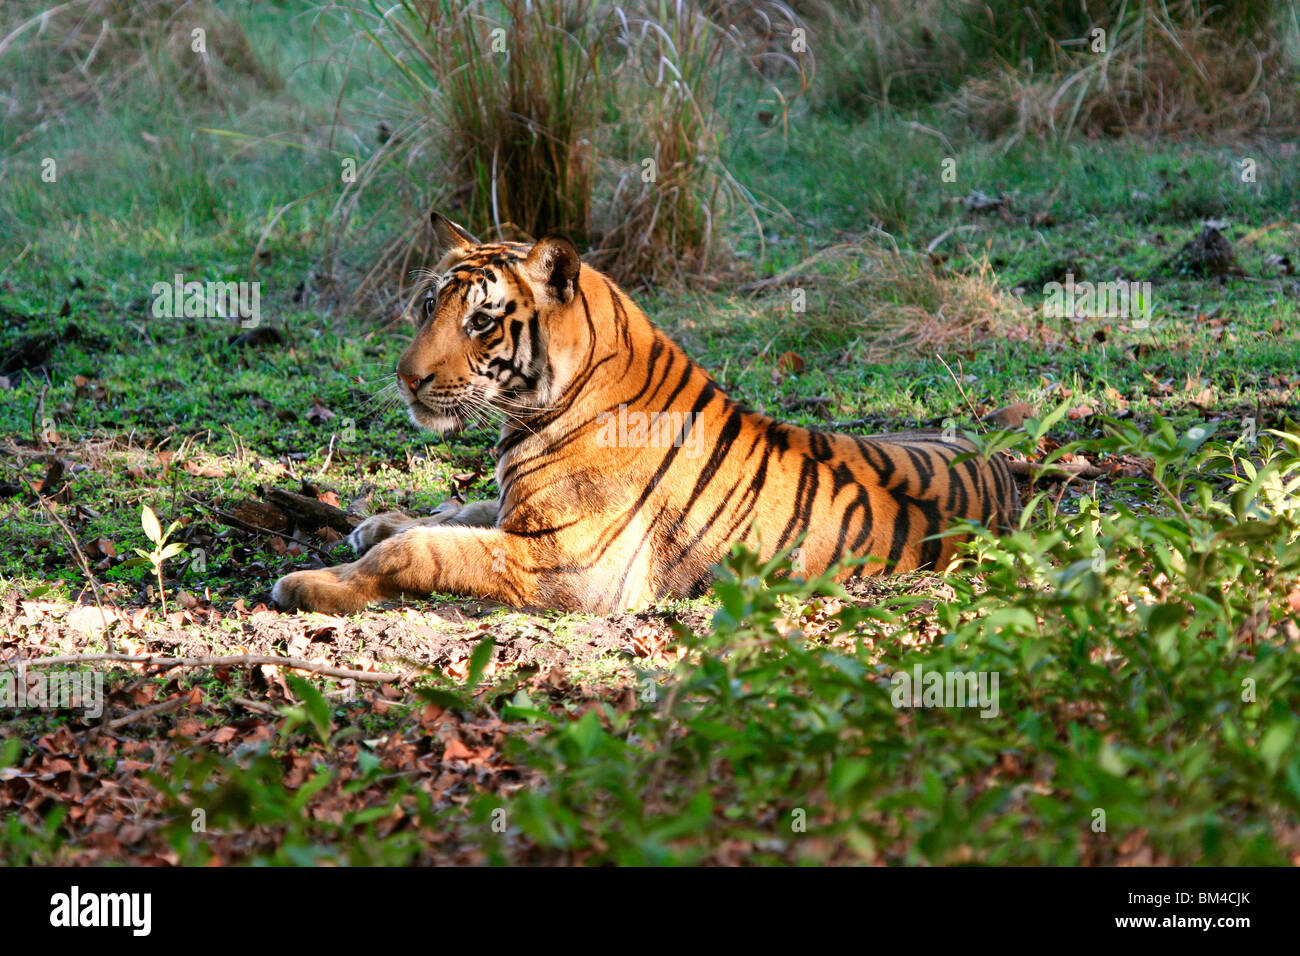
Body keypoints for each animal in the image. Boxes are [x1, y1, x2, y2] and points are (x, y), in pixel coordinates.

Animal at [271, 213, 1024, 616]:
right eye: (429, 305)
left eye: (481, 321)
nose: (406, 377)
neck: (534, 413)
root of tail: (1002, 469)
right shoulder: (519, 512)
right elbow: (455, 512)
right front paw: (374, 522)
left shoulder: (569, 562)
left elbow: (425, 547)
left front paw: (308, 582)